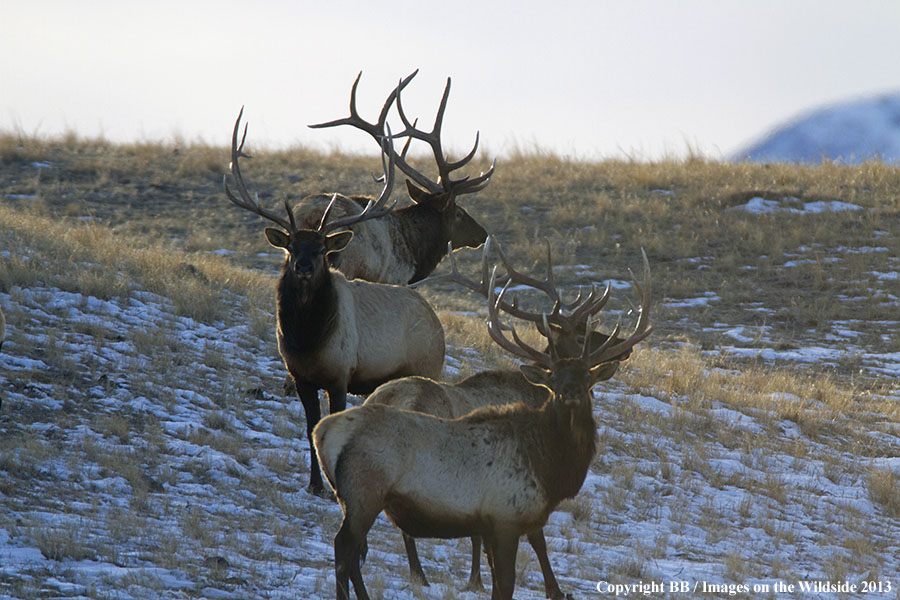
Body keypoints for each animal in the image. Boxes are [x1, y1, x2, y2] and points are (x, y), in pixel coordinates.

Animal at [225, 110, 446, 494]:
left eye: (321, 249)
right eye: (291, 246)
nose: (303, 266)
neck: (308, 341)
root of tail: (439, 325)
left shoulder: (341, 373)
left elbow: (333, 426)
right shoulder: (299, 376)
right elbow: (310, 428)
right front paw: (315, 485)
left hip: (427, 369)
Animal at [296, 69, 492, 284]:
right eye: (459, 213)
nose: (482, 233)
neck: (416, 252)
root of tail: (312, 216)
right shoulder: (394, 279)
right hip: (346, 264)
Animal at [312, 253, 652, 600]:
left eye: (587, 376)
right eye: (554, 377)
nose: (570, 392)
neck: (548, 466)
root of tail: (322, 432)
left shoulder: (488, 523)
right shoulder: (506, 516)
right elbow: (520, 566)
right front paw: (554, 589)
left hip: (355, 498)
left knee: (353, 553)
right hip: (365, 492)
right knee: (344, 549)